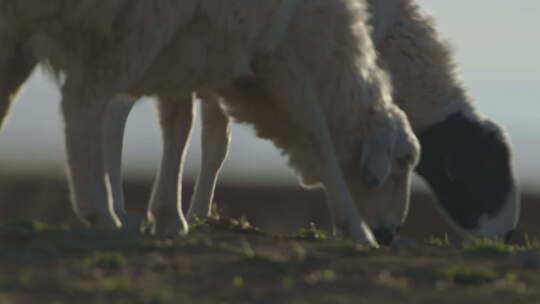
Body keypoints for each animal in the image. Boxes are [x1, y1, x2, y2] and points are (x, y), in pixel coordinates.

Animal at [0, 0, 422, 247]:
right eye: (403, 162)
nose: (390, 234)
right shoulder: (284, 53)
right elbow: (317, 134)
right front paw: (355, 227)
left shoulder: (185, 48)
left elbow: (178, 124)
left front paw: (168, 214)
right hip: (133, 30)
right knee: (82, 103)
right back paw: (100, 212)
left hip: (17, 30)